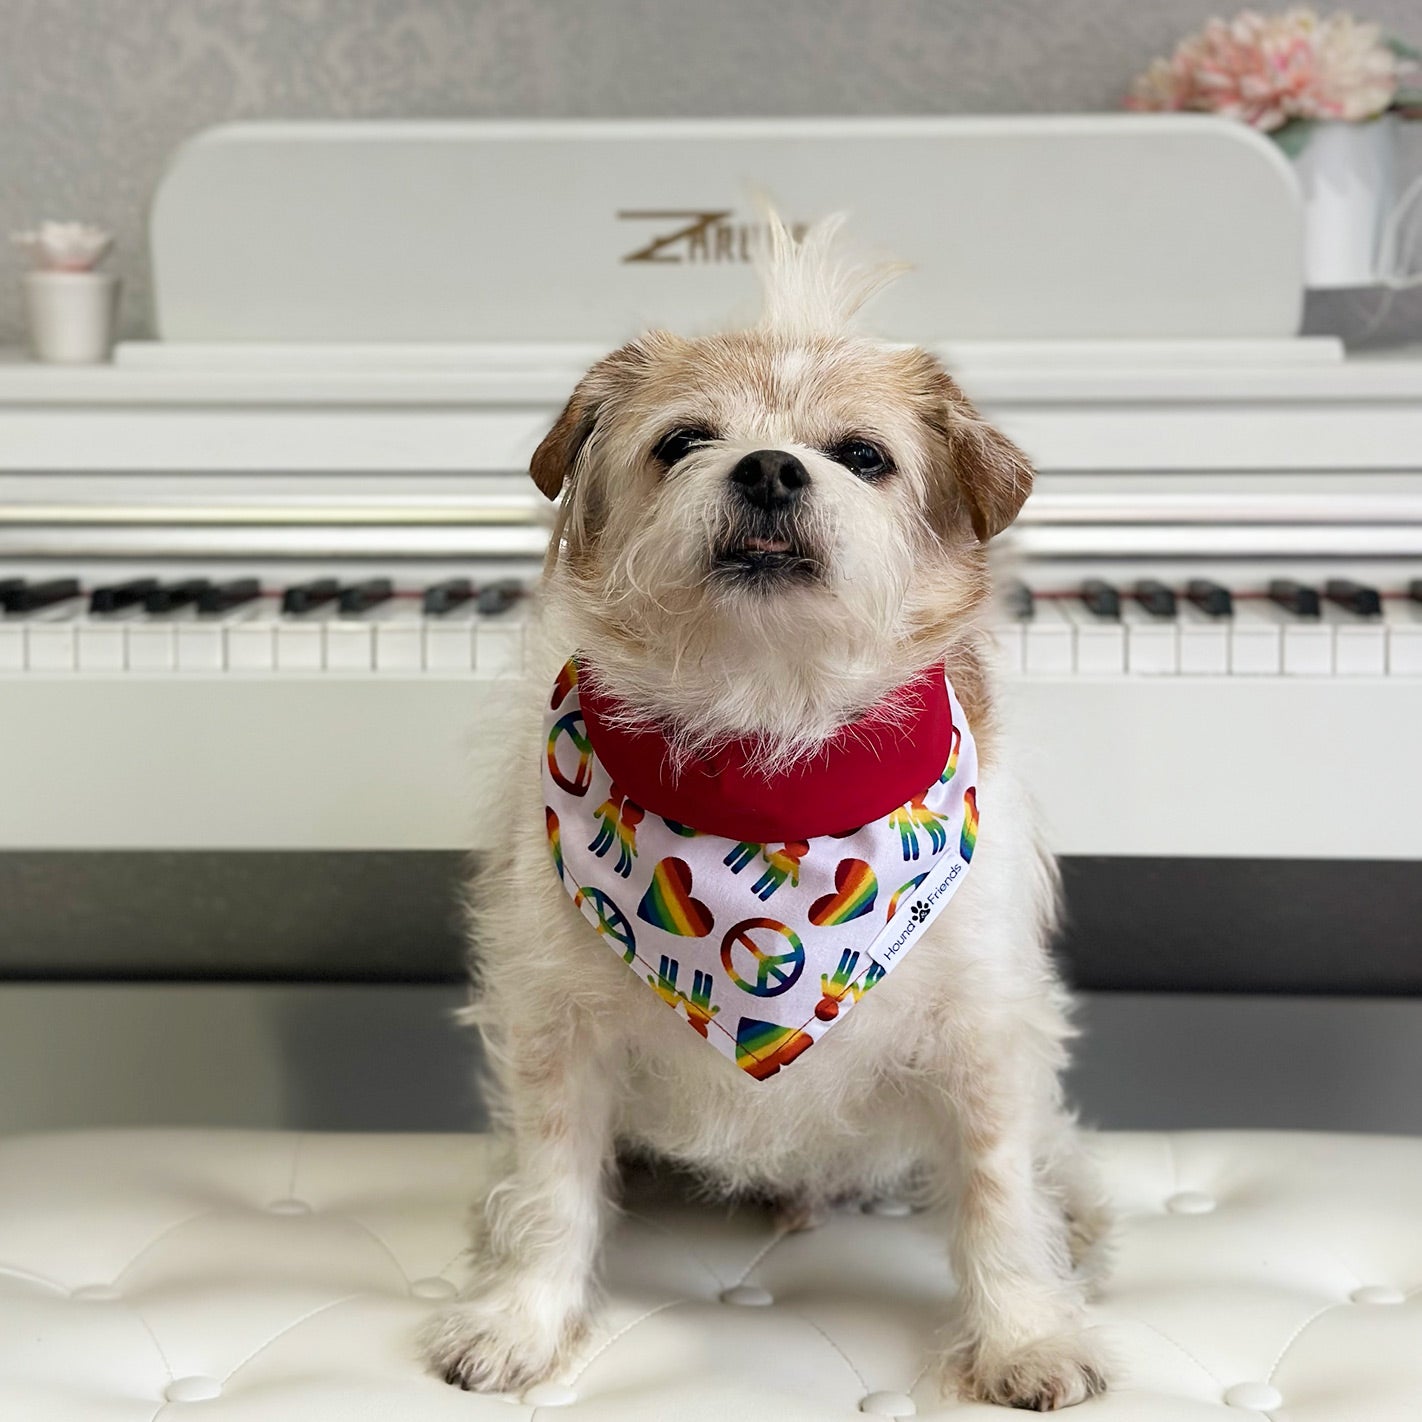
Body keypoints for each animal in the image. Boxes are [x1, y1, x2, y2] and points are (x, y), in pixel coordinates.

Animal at [420, 216, 1109, 1404]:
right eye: (684, 440)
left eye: (865, 456)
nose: (773, 467)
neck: (766, 744)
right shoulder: (555, 1032)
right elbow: (550, 1189)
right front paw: (520, 1319)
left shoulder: (984, 1037)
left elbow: (1000, 1195)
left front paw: (1026, 1336)